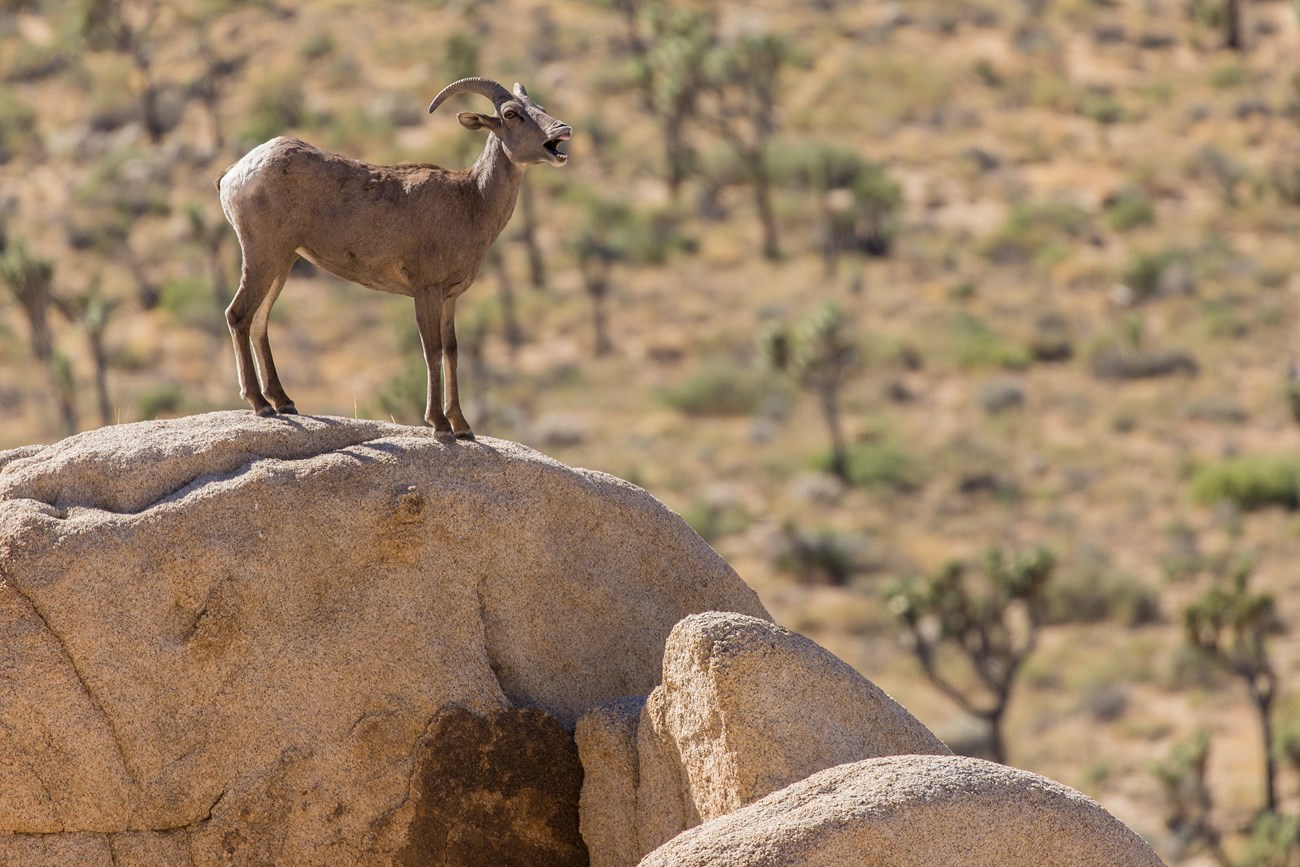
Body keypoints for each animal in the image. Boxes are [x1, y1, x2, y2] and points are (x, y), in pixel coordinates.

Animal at [215, 77, 572, 436]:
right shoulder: (426, 291)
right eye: (511, 114)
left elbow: (452, 352)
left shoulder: (450, 298)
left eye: (539, 107)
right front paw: (440, 425)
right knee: (239, 315)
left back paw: (284, 401)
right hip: (262, 256)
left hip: (282, 263)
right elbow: (432, 351)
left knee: (260, 321)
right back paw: (260, 404)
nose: (563, 130)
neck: (471, 200)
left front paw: (462, 426)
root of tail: (234, 174)